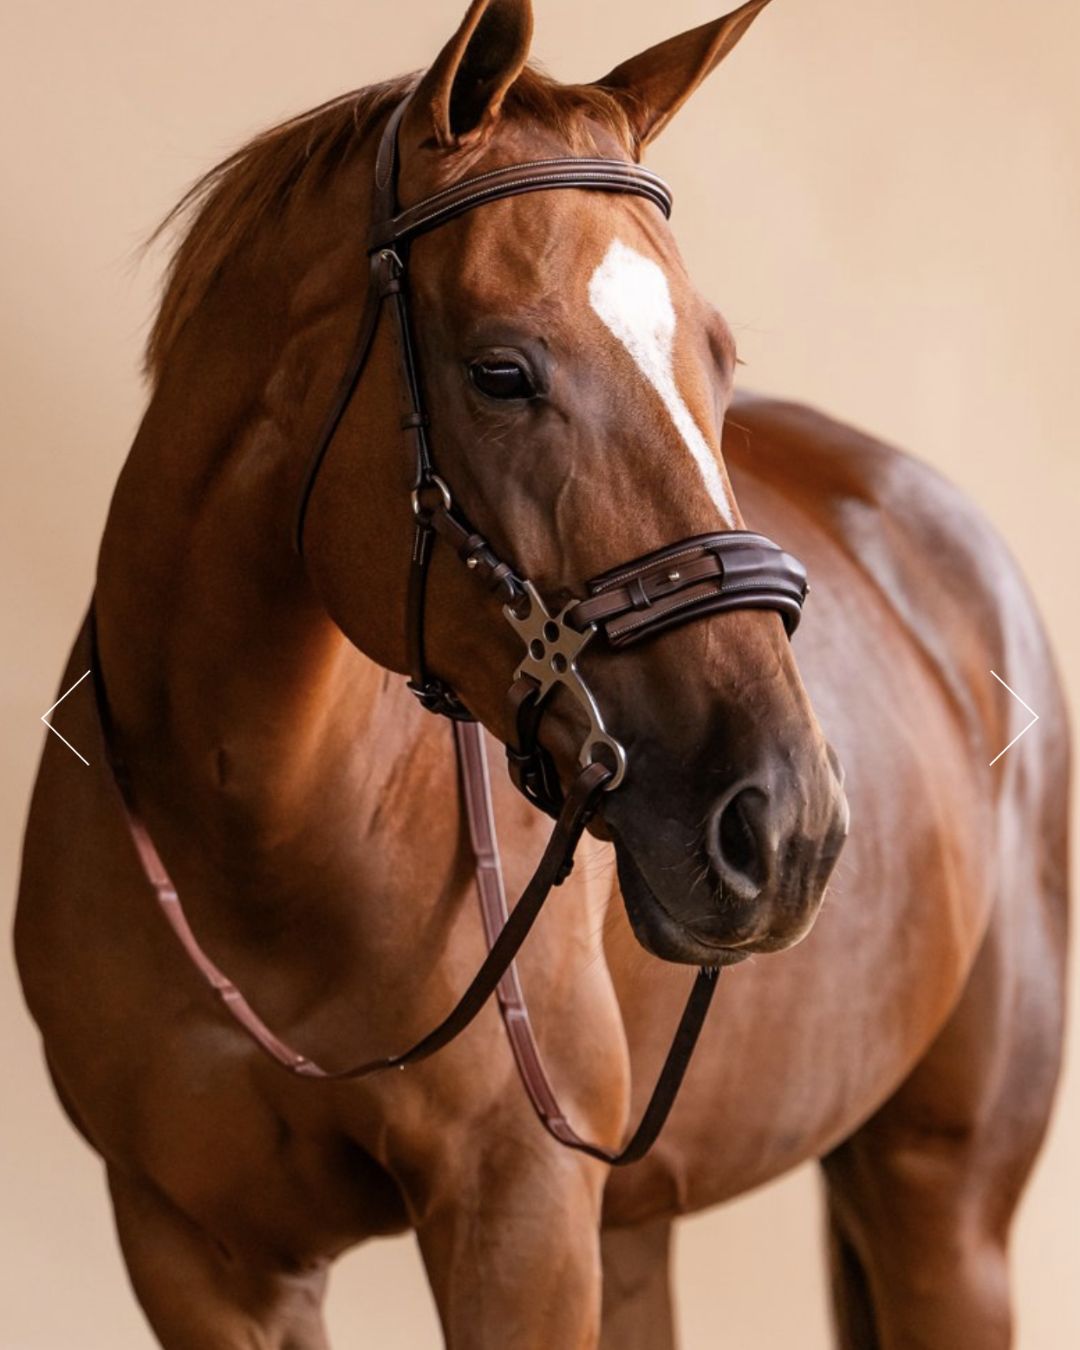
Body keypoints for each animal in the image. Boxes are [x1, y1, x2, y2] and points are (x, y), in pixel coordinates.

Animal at [15, 1, 1068, 1346]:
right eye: (501, 372)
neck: (254, 834)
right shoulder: (196, 1253)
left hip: (944, 1199)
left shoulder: (521, 1222)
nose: (786, 825)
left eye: (719, 361)